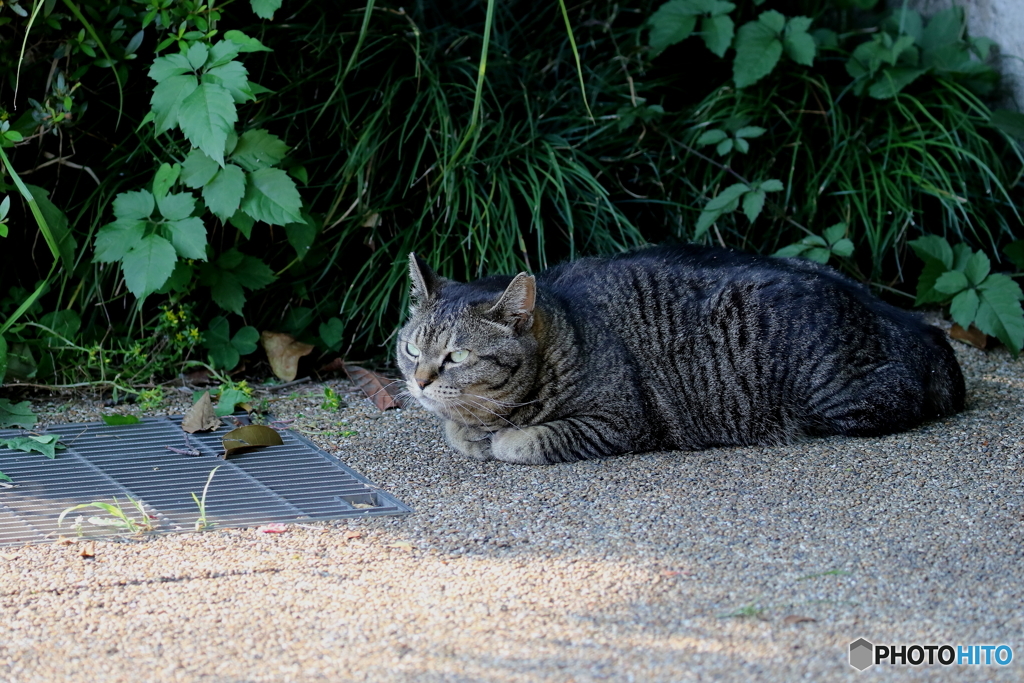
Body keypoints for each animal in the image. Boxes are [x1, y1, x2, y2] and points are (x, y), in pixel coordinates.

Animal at [395, 245, 962, 464]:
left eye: (456, 357)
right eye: (411, 348)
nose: (419, 381)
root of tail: (917, 326)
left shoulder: (619, 421)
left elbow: (521, 440)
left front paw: (496, 438)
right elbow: (458, 429)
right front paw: (467, 430)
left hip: (842, 399)